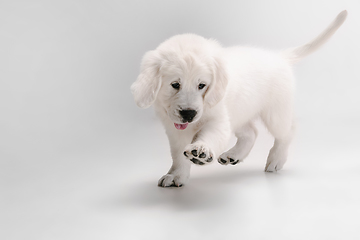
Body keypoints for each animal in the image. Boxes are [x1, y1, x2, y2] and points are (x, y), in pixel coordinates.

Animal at [131, 10, 348, 188]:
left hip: (275, 112)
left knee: (288, 131)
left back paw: (276, 159)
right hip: (240, 111)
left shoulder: (219, 120)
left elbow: (209, 135)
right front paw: (176, 175)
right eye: (175, 84)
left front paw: (201, 150)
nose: (189, 114)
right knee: (251, 132)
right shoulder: (174, 129)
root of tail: (279, 57)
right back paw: (232, 156)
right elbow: (177, 155)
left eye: (202, 85)